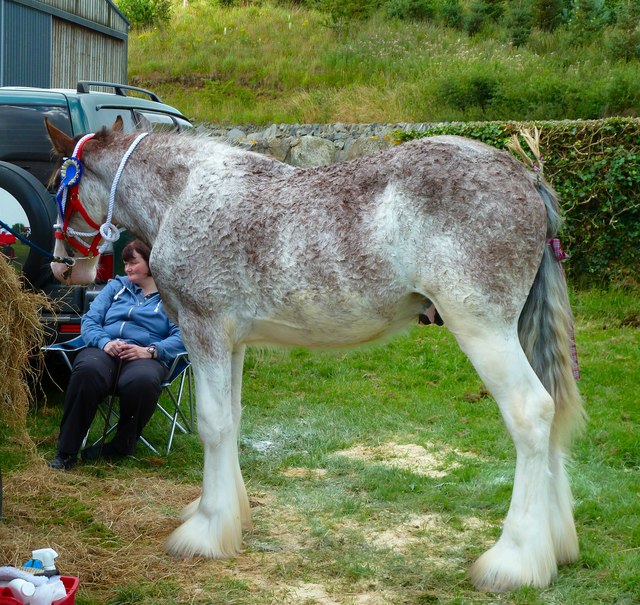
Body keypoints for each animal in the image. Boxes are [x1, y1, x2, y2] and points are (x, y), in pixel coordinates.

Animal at [46, 118, 584, 588]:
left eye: (58, 183)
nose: (61, 266)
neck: (184, 195)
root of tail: (526, 178)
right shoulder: (231, 343)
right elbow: (232, 420)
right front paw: (226, 514)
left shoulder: (204, 331)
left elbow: (213, 425)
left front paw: (206, 530)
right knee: (553, 412)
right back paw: (554, 547)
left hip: (483, 331)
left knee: (531, 414)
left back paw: (514, 560)